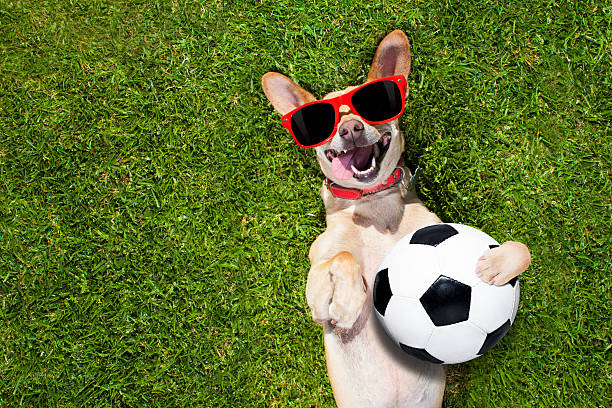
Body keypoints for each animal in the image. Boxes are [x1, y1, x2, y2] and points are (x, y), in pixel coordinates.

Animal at [262, 30, 532, 406]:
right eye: (326, 122)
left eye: (370, 107)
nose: (351, 129)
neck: (374, 205)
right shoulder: (316, 294)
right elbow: (342, 257)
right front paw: (348, 303)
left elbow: (522, 249)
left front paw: (495, 264)